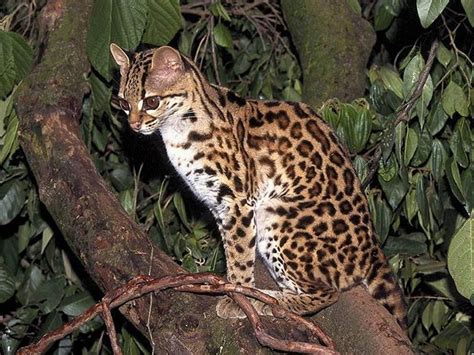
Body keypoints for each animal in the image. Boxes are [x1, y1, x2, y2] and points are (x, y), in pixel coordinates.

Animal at [109, 43, 406, 330]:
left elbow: (240, 256)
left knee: (326, 292)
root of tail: (372, 250)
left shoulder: (237, 201)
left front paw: (238, 297)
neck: (176, 131)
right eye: (123, 102)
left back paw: (269, 302)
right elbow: (231, 253)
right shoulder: (217, 204)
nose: (133, 125)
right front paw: (233, 289)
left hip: (277, 214)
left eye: (152, 101)